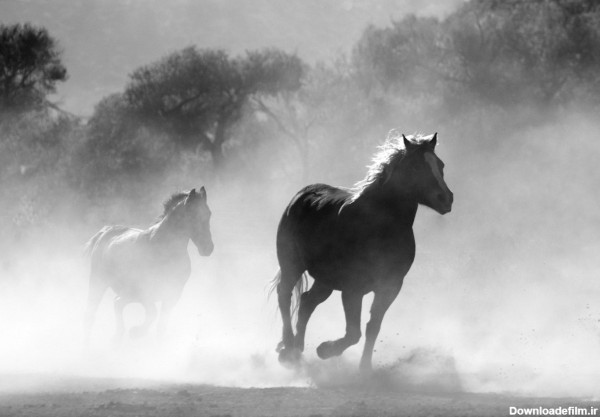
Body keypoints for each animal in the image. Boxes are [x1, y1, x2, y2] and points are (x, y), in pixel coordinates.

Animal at [82, 187, 213, 342]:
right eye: (192, 215)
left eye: (209, 214)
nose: (208, 248)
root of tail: (105, 232)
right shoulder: (145, 292)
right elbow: (152, 313)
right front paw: (136, 331)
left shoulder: (172, 295)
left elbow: (161, 327)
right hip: (99, 282)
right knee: (93, 312)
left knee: (117, 303)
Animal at [274, 131, 452, 370]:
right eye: (416, 167)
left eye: (440, 165)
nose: (446, 199)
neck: (379, 227)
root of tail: (301, 195)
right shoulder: (353, 288)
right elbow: (353, 333)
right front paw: (325, 350)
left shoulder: (390, 287)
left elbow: (372, 327)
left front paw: (364, 368)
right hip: (292, 265)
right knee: (285, 295)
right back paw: (288, 348)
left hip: (326, 279)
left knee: (306, 301)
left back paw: (297, 349)